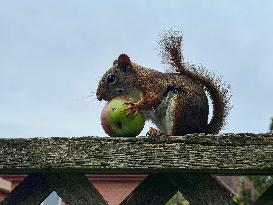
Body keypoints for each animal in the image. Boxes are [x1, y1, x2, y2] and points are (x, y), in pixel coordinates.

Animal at [95, 28, 230, 137]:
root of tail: (201, 128)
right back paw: (155, 131)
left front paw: (135, 106)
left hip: (180, 106)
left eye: (111, 79)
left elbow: (153, 98)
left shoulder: (152, 84)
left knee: (176, 133)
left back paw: (163, 133)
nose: (98, 96)